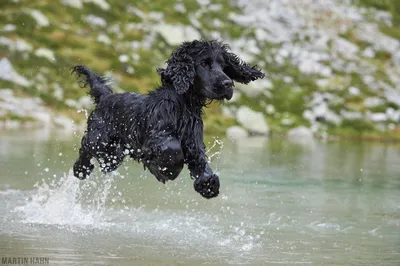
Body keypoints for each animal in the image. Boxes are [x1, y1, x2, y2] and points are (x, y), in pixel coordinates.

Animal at [72, 39, 266, 197]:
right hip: (99, 138)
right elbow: (172, 149)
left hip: (113, 153)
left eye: (224, 66)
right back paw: (81, 169)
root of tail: (105, 97)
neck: (183, 106)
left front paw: (208, 185)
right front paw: (165, 170)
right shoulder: (156, 137)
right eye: (204, 63)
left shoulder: (193, 142)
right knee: (86, 148)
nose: (228, 84)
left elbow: (201, 163)